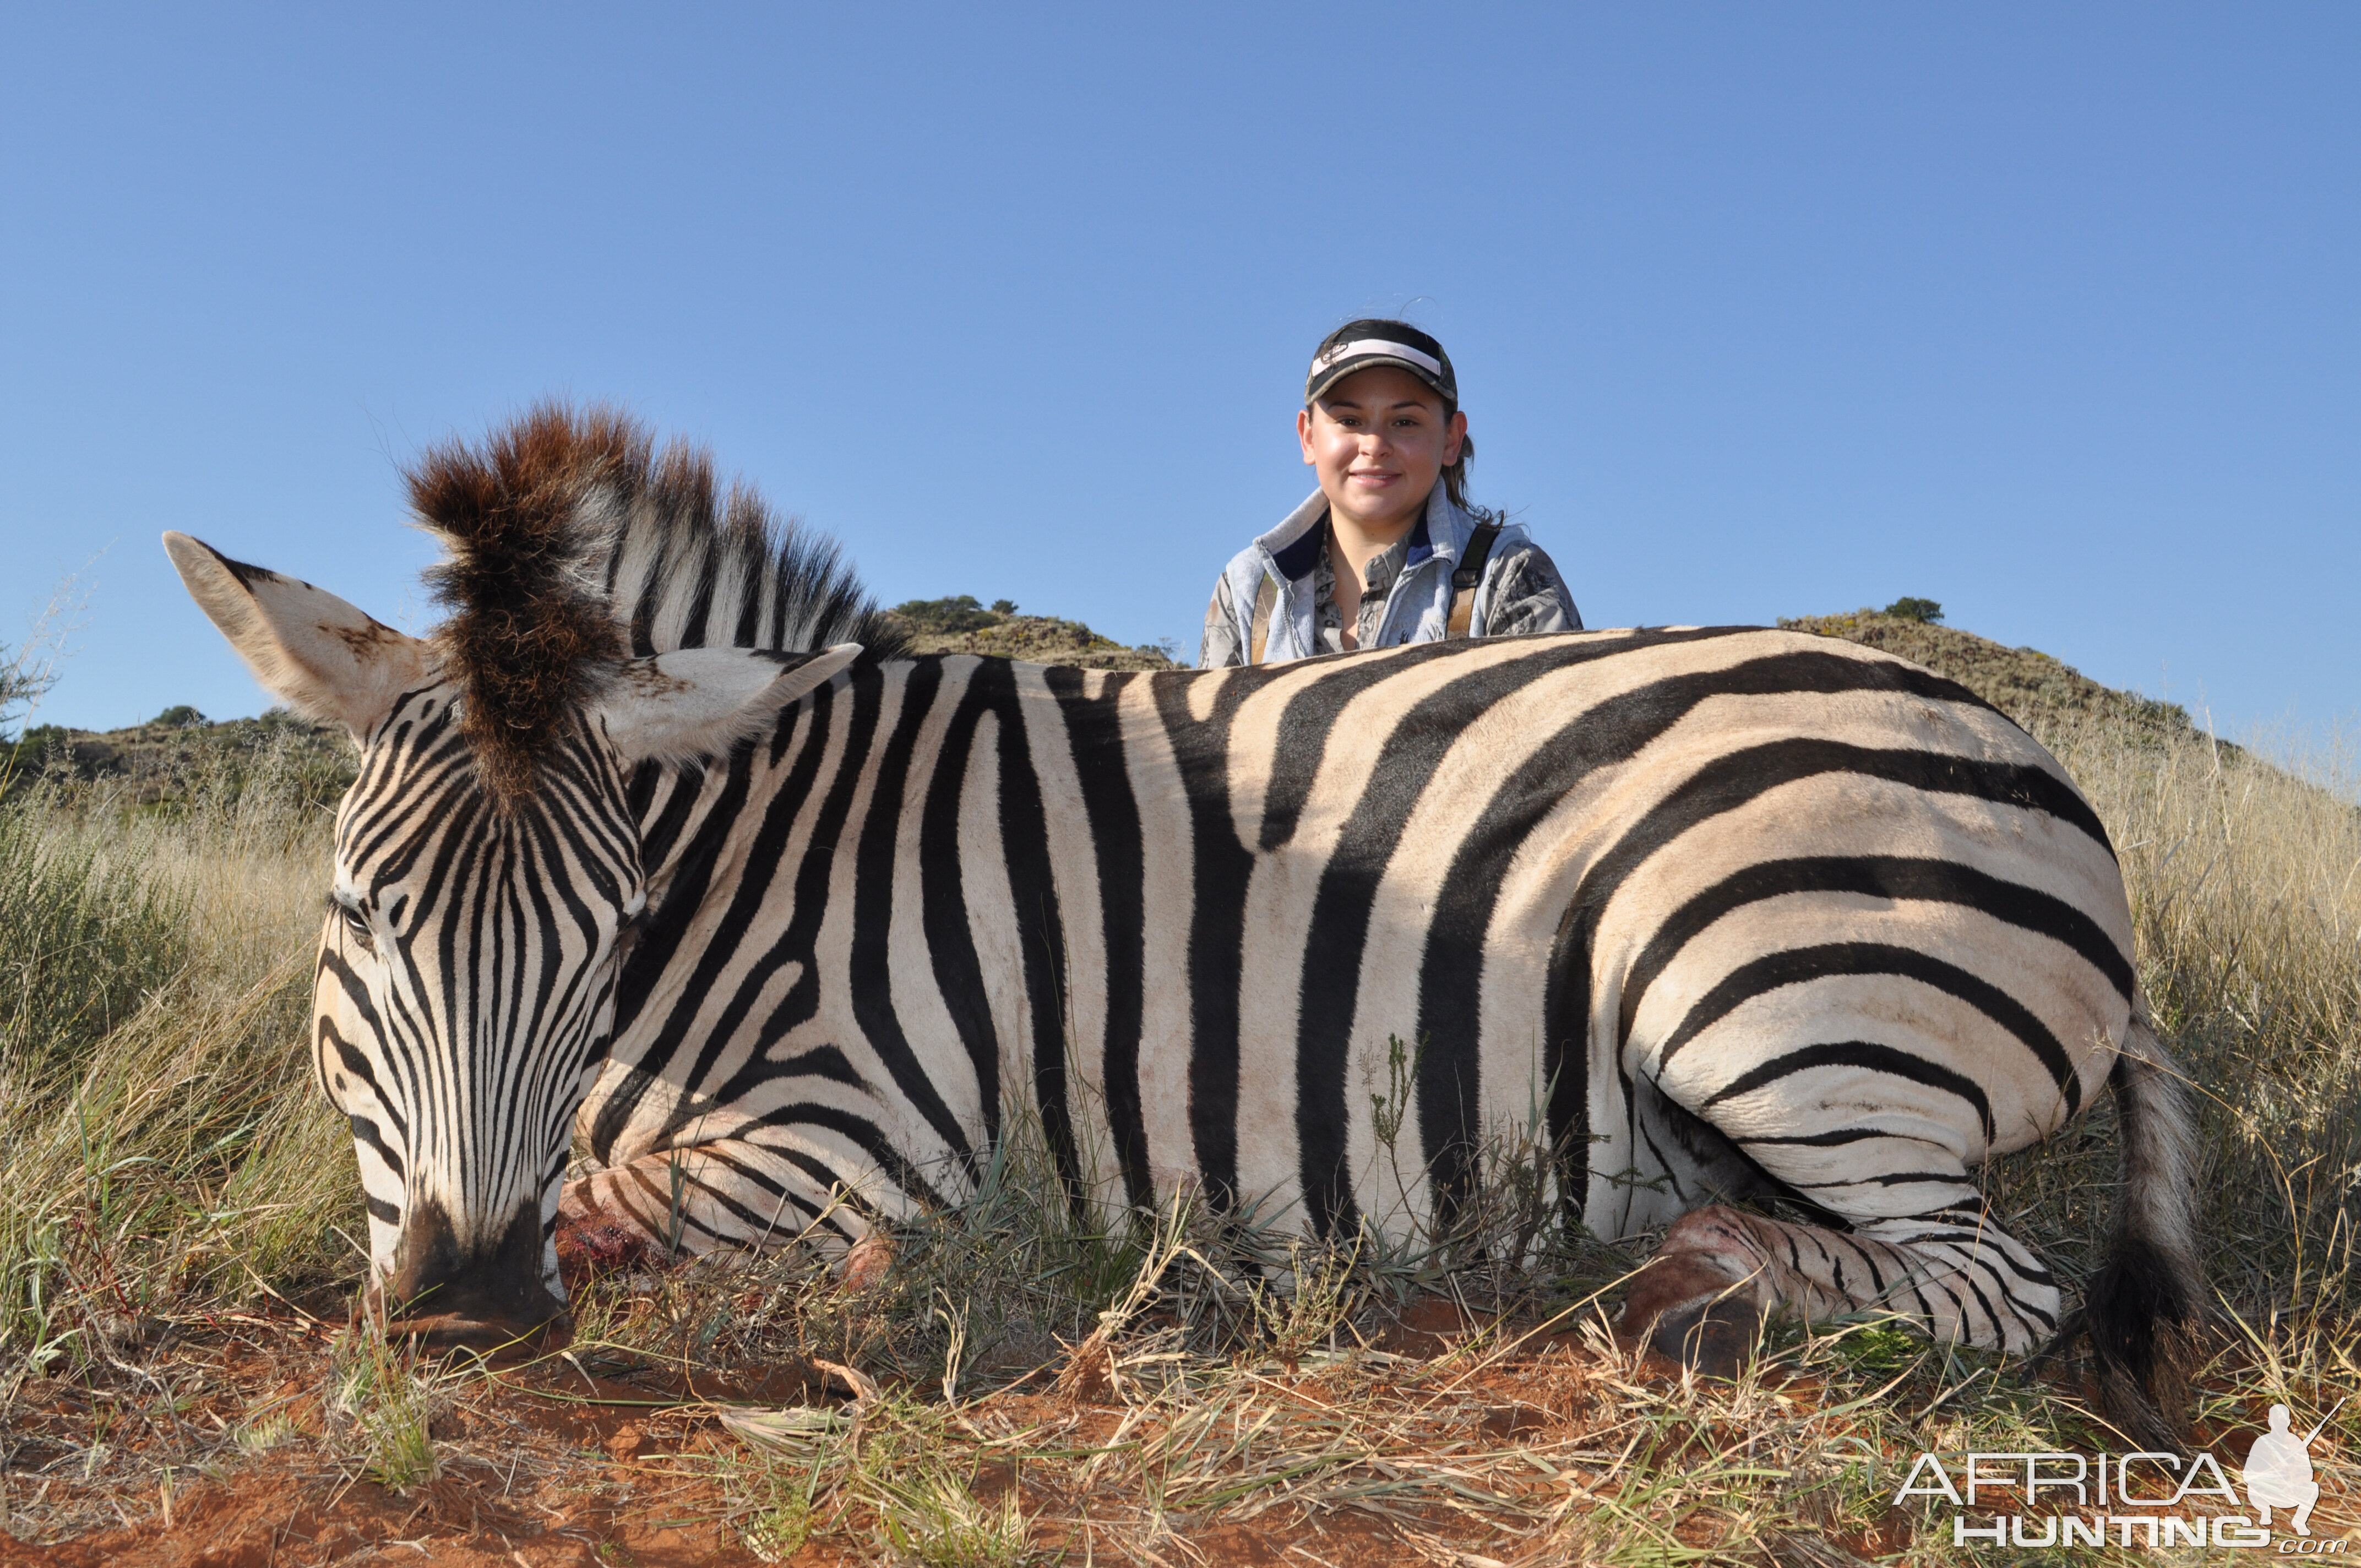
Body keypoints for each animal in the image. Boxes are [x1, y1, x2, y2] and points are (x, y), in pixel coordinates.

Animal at [161, 406, 2191, 1445]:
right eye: (361, 914)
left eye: (608, 931)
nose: (470, 1312)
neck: (767, 856)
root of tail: (2029, 759)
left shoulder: (884, 1129)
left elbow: (643, 1201)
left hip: (1757, 995)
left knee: (1995, 1292)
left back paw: (1687, 1286)